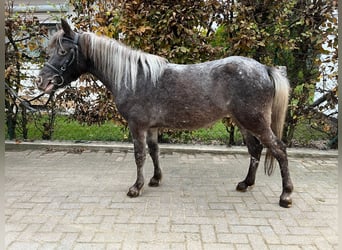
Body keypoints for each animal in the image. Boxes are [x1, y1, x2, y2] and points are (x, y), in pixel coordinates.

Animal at [37, 19, 294, 207]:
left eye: (63, 51)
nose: (42, 81)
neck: (133, 77)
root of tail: (264, 69)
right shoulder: (151, 127)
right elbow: (154, 151)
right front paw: (155, 179)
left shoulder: (137, 126)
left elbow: (139, 155)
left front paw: (136, 187)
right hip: (243, 122)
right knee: (255, 150)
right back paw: (246, 183)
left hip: (255, 121)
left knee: (279, 150)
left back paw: (286, 195)